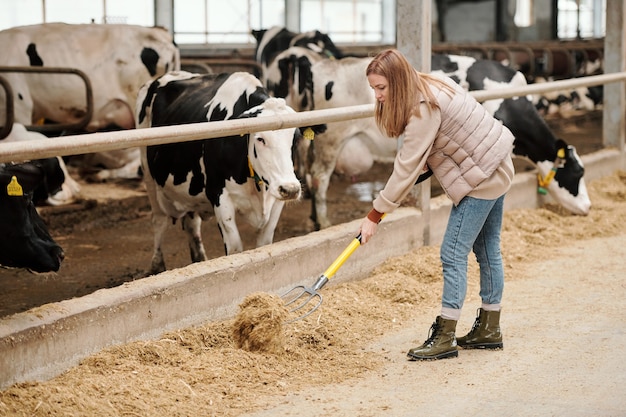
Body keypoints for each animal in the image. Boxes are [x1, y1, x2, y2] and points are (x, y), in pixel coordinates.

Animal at [138, 70, 310, 272]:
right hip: (148, 175)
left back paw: (200, 258)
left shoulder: (275, 202)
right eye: (260, 138)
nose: (290, 189)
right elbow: (235, 250)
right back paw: (157, 265)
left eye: (296, 138)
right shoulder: (220, 196)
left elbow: (265, 245)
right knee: (159, 220)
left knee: (191, 224)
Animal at [264, 51, 588, 231]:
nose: (588, 207)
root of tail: (320, 67)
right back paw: (324, 222)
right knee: (319, 178)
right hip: (332, 138)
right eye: (576, 173)